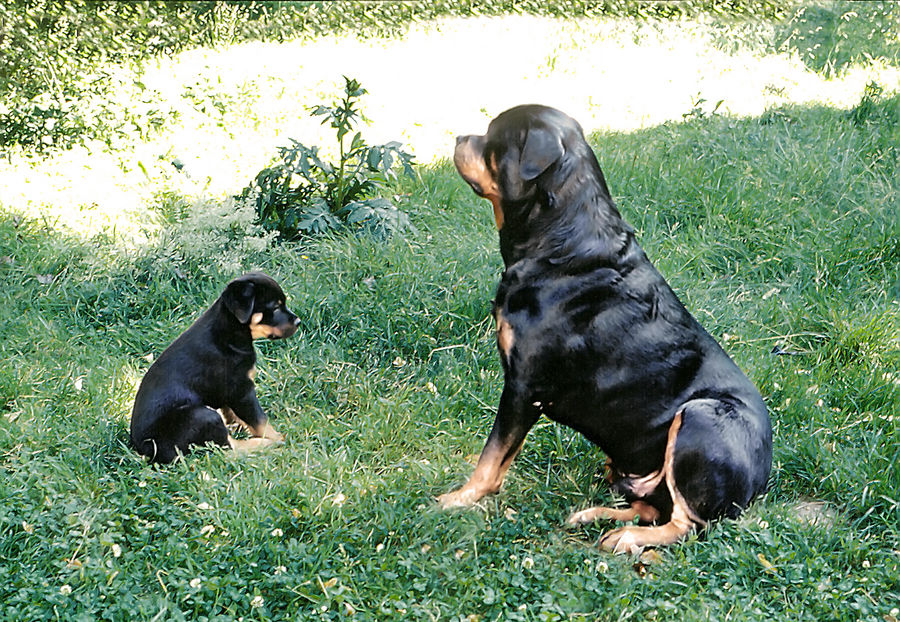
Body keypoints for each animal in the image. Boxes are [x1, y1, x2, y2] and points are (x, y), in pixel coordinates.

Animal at [130, 272, 300, 464]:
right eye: (276, 307)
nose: (299, 321)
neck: (231, 332)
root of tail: (149, 454)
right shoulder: (242, 390)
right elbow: (260, 420)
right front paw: (278, 437)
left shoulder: (229, 393)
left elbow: (235, 414)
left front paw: (239, 426)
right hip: (204, 416)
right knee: (225, 449)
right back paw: (265, 444)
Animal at [440, 105, 768, 552]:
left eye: (492, 138)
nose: (458, 138)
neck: (560, 243)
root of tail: (762, 481)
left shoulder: (523, 387)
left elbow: (491, 457)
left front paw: (460, 498)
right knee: (651, 506)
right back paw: (596, 517)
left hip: (701, 419)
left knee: (687, 525)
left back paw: (627, 537)